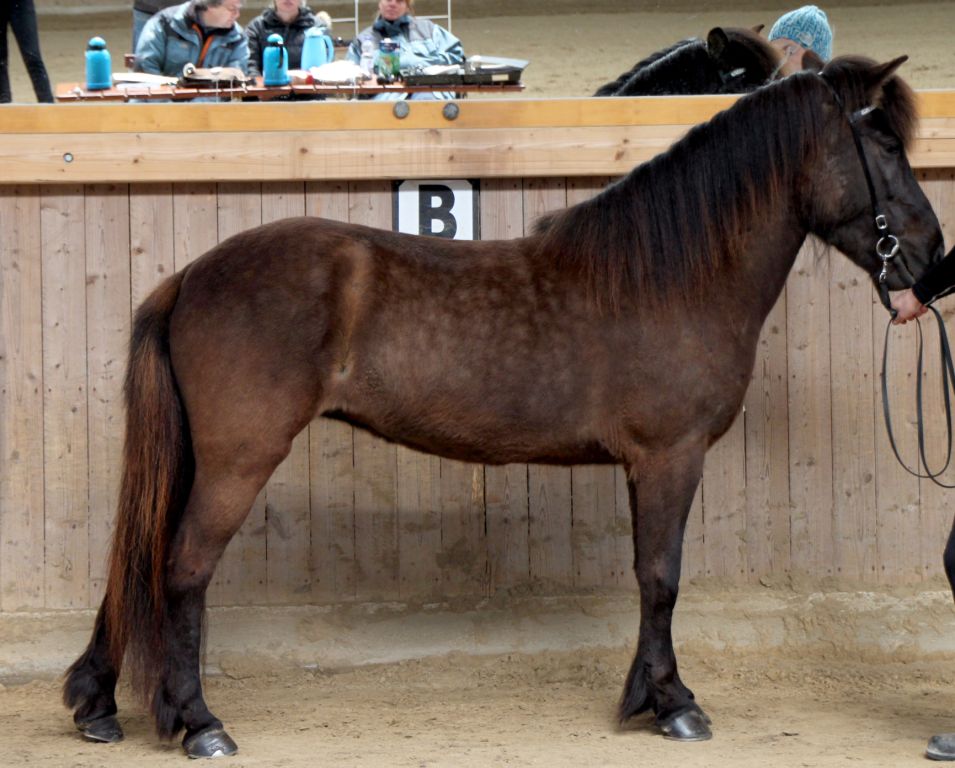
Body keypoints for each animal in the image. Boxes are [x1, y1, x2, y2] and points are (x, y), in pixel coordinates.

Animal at [65, 57, 940, 760]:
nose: (930, 255)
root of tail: (189, 277)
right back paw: (199, 723)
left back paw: (98, 704)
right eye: (884, 146)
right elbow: (662, 577)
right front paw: (675, 704)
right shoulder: (670, 456)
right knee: (181, 569)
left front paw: (642, 695)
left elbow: (646, 574)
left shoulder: (643, 466)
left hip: (196, 457)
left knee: (138, 558)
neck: (670, 277)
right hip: (238, 460)